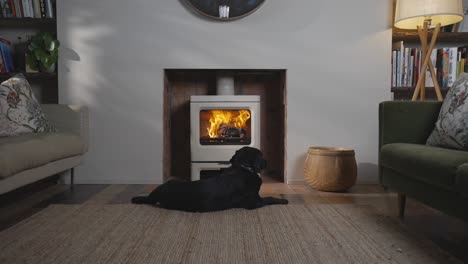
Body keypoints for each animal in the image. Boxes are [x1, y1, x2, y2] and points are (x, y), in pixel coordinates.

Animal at [130, 146, 288, 212]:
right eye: (261, 156)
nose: (267, 162)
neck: (243, 168)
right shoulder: (254, 202)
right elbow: (270, 198)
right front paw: (283, 200)